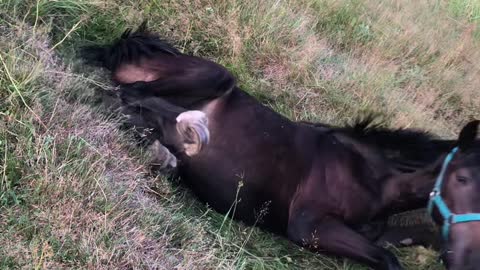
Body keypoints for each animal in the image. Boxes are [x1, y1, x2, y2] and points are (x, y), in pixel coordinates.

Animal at [82, 24, 480, 268]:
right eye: (461, 179)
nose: (465, 259)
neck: (371, 175)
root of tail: (122, 47)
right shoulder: (308, 225)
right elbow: (387, 259)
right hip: (215, 76)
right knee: (133, 96)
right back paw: (184, 140)